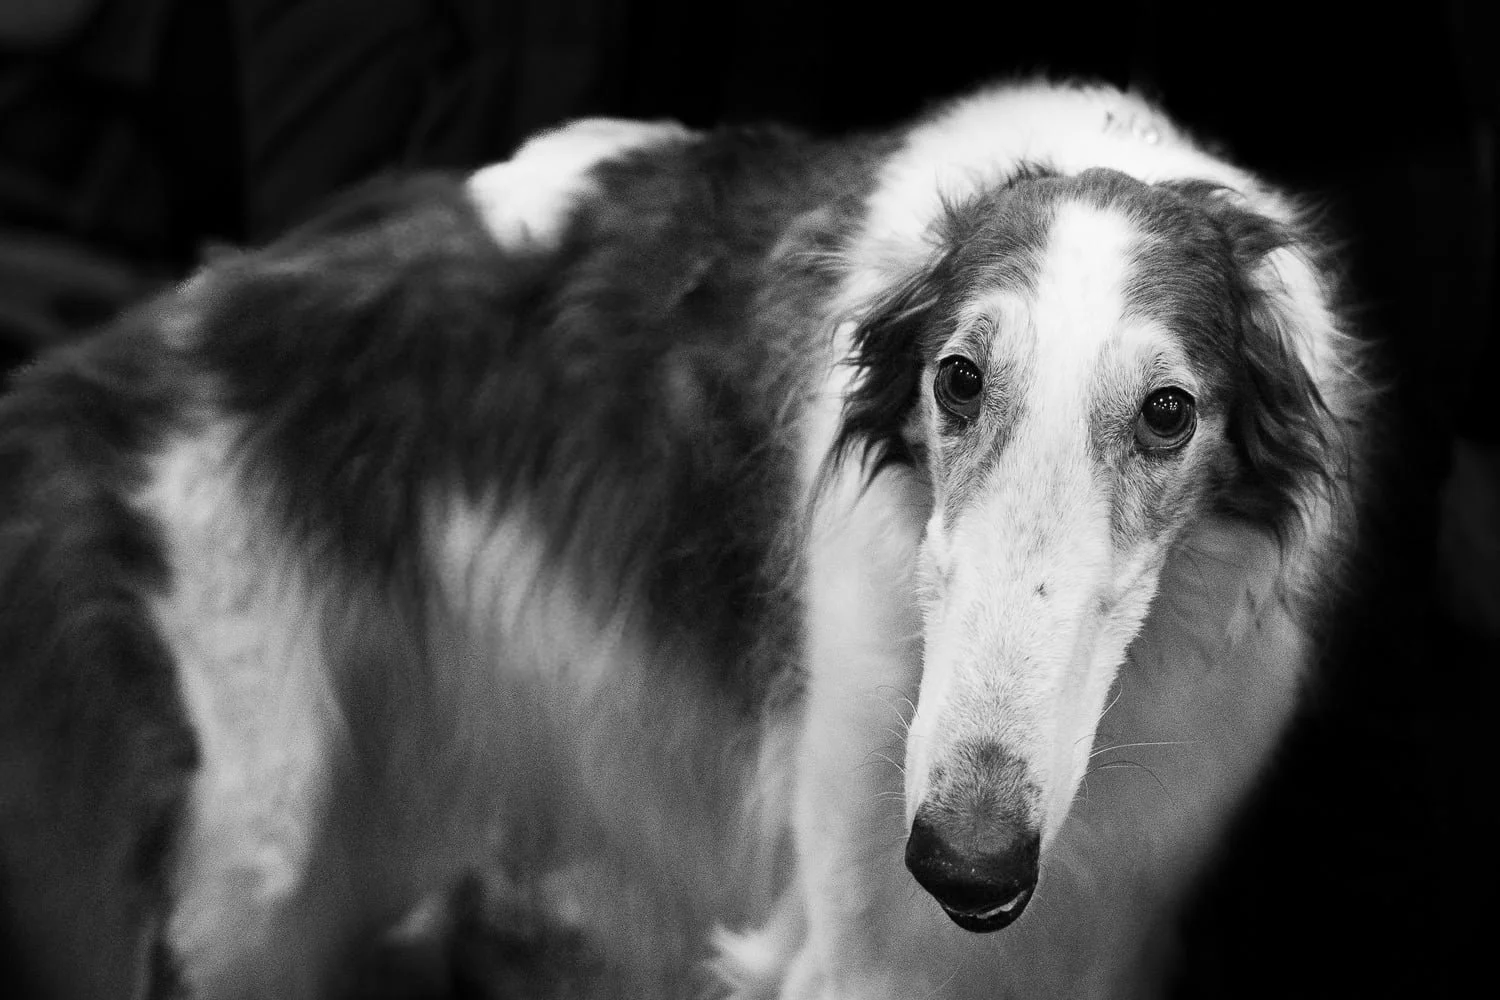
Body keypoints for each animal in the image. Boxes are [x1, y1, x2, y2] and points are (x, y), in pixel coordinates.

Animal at [0, 80, 1369, 999]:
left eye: (1169, 412)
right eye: (957, 379)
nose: (966, 864)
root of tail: (108, 353)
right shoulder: (856, 937)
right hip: (247, 848)